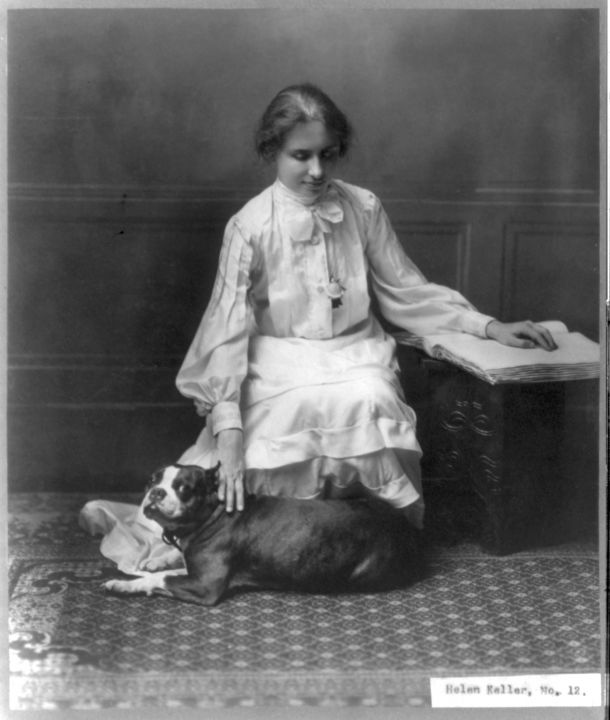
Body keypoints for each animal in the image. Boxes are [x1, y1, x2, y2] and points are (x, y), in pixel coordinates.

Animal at [104, 464, 422, 604]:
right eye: (152, 480)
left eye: (184, 488)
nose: (156, 492)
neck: (212, 514)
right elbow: (165, 569)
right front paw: (140, 571)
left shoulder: (205, 585)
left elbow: (162, 579)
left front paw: (126, 584)